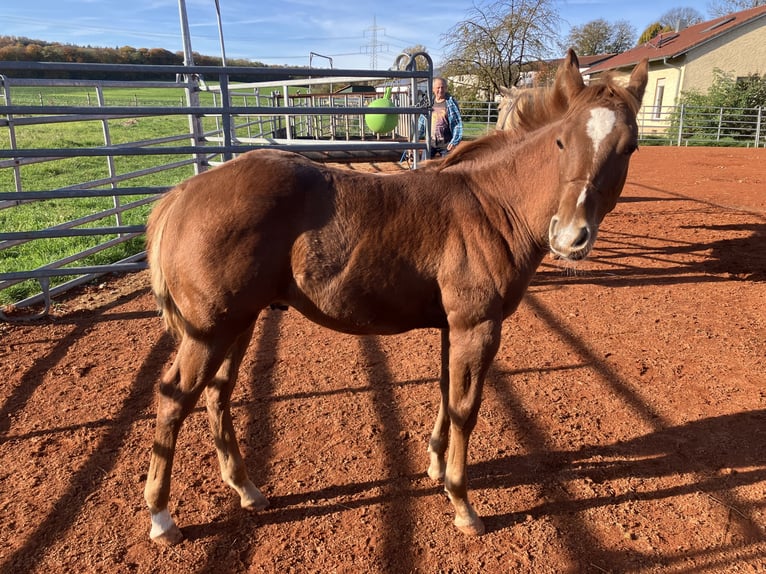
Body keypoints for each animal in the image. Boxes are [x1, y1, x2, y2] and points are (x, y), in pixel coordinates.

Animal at [143, 49, 648, 545]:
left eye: (630, 147)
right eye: (561, 142)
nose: (570, 237)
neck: (492, 206)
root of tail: (184, 193)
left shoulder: (453, 328)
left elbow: (446, 393)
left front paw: (436, 466)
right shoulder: (478, 328)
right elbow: (465, 409)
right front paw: (463, 504)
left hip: (240, 323)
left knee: (217, 394)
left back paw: (246, 488)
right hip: (209, 329)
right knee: (174, 397)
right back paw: (162, 517)